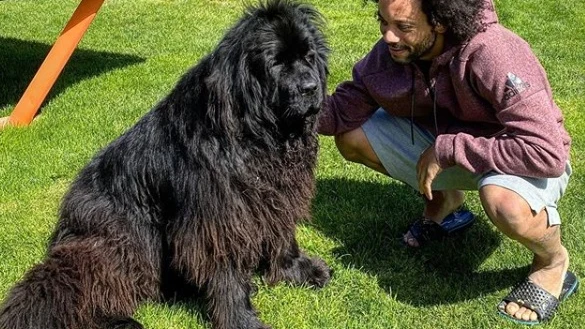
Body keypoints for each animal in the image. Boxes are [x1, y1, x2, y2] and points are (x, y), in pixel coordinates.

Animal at [0, 0, 328, 328]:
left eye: (309, 56)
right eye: (276, 63)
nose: (311, 87)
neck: (257, 132)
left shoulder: (278, 194)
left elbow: (284, 235)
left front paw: (298, 271)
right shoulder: (216, 217)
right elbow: (227, 272)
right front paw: (240, 318)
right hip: (122, 238)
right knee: (87, 285)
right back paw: (119, 321)